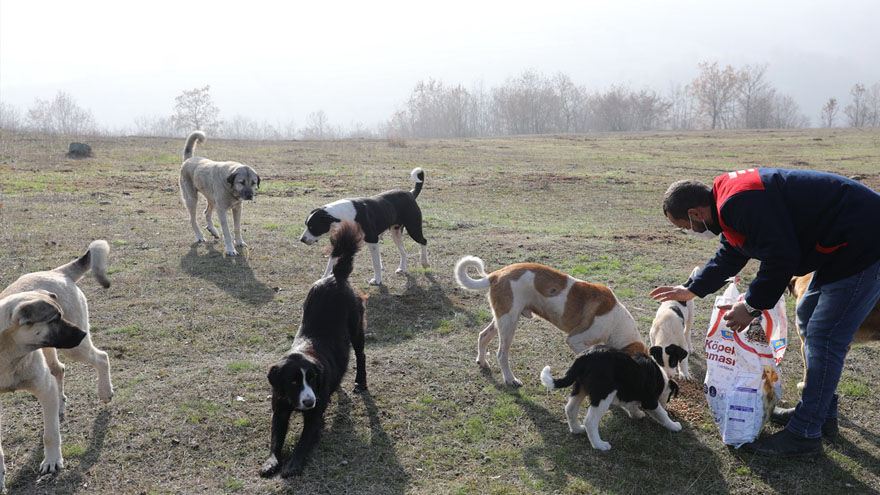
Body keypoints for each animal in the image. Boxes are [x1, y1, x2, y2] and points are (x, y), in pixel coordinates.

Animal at [262, 223, 372, 478]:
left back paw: (360, 382)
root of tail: (337, 275)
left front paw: (293, 464)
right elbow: (275, 438)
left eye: (312, 379)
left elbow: (303, 441)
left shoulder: (314, 416)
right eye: (293, 381)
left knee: (361, 355)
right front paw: (271, 462)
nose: (309, 401)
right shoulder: (279, 408)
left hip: (356, 327)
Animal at [300, 169, 430, 286]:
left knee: (423, 241)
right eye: (306, 224)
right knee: (404, 251)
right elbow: (330, 263)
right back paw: (402, 268)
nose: (302, 240)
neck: (342, 216)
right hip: (396, 233)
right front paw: (323, 279)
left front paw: (377, 280)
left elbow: (376, 263)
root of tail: (410, 194)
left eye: (312, 226)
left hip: (413, 229)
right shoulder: (339, 242)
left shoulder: (372, 240)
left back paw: (424, 262)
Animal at [454, 258, 648, 390]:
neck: (616, 323)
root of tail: (496, 274)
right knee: (501, 354)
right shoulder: (575, 341)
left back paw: (482, 361)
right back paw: (510, 379)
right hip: (509, 322)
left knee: (483, 335)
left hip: (502, 318)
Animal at [540, 346, 684, 452]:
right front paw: (674, 425)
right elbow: (662, 414)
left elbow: (631, 406)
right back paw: (599, 445)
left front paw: (636, 414)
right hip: (603, 395)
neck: (661, 378)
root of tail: (585, 357)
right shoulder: (650, 401)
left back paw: (576, 429)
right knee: (590, 421)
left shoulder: (627, 394)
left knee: (570, 409)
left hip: (580, 387)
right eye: (669, 398)